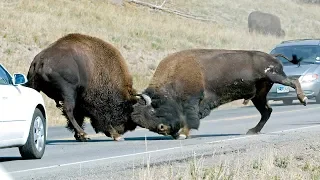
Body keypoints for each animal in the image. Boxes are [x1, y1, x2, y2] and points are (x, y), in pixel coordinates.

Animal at [132, 48, 308, 139]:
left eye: (152, 109)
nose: (161, 128)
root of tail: (271, 55)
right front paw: (180, 134)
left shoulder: (194, 102)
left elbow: (190, 118)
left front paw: (182, 133)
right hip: (259, 95)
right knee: (267, 111)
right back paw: (252, 130)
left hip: (275, 77)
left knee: (293, 81)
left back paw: (304, 99)